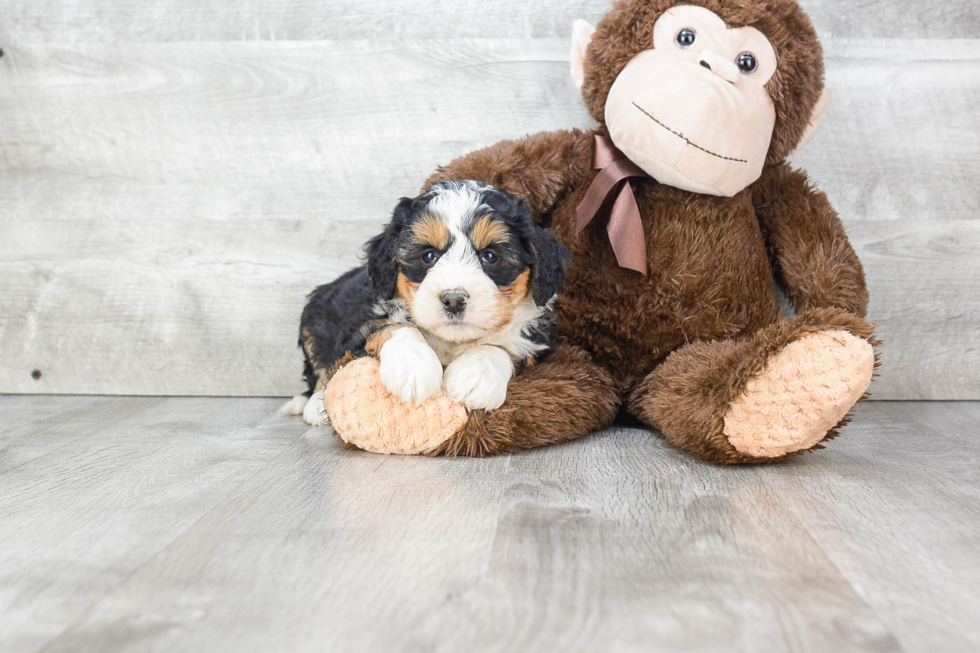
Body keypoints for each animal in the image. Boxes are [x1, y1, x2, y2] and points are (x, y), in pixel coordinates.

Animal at [288, 178, 572, 426]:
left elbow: (502, 346)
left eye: (490, 256)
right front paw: (412, 367)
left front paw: (476, 377)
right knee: (318, 369)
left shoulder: (537, 343)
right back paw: (310, 404)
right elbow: (393, 327)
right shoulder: (358, 326)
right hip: (312, 323)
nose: (454, 299)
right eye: (429, 256)